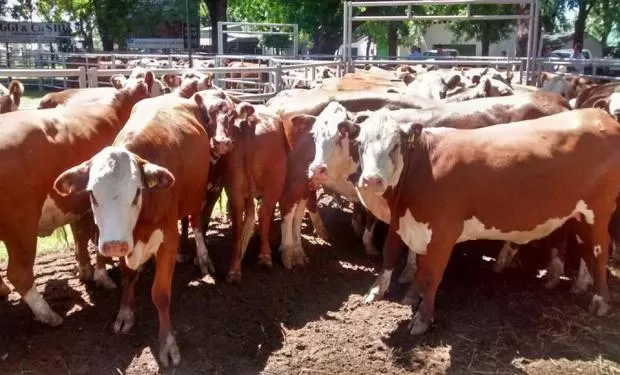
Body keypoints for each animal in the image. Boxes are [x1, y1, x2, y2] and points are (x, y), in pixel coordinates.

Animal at [0, 81, 149, 322]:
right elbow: (94, 237)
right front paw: (102, 276)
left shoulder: (79, 205)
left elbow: (81, 236)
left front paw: (86, 270)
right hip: (21, 225)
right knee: (19, 273)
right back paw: (48, 314)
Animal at [51, 90, 232, 368]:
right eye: (92, 193)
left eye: (137, 192)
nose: (113, 244)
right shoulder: (127, 244)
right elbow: (127, 276)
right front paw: (125, 313)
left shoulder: (167, 238)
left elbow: (161, 294)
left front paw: (167, 343)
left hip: (196, 193)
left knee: (195, 222)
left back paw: (202, 257)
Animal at [354, 108, 620, 334]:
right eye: (359, 144)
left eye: (395, 145)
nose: (371, 180)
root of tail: (599, 115)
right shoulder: (414, 226)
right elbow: (404, 259)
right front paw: (404, 295)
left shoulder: (443, 232)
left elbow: (431, 274)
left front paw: (422, 318)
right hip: (578, 214)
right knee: (586, 247)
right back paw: (579, 285)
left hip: (598, 210)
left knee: (600, 251)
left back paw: (600, 301)